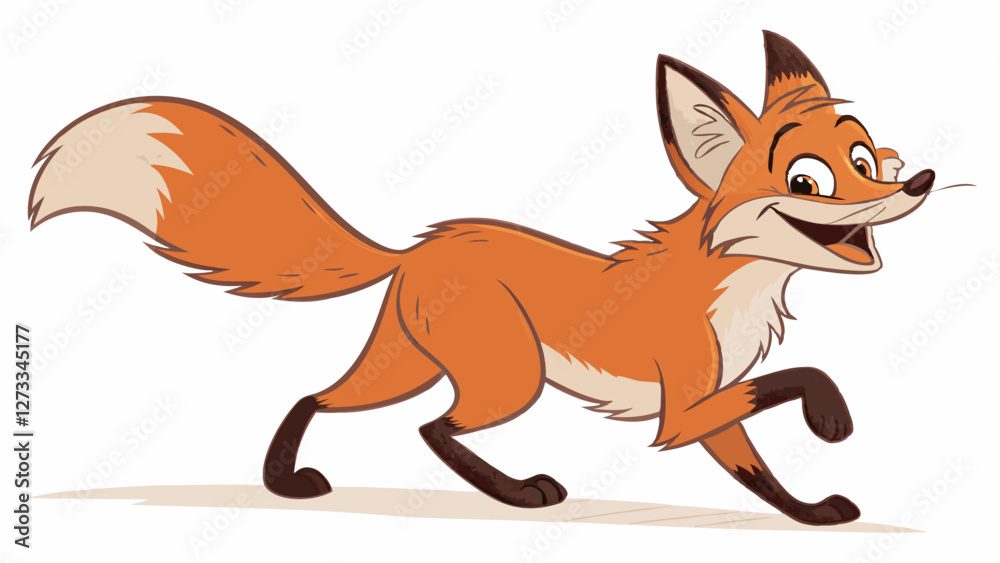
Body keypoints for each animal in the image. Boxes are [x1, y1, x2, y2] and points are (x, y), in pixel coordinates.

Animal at [28, 31, 937, 526]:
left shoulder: (705, 408)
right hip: (510, 376)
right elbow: (797, 380)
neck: (729, 287)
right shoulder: (683, 406)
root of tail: (414, 246)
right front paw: (830, 417)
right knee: (430, 427)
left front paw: (813, 515)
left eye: (868, 160)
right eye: (810, 180)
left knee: (326, 398)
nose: (920, 181)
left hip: (411, 363)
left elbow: (760, 473)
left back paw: (289, 481)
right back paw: (514, 492)